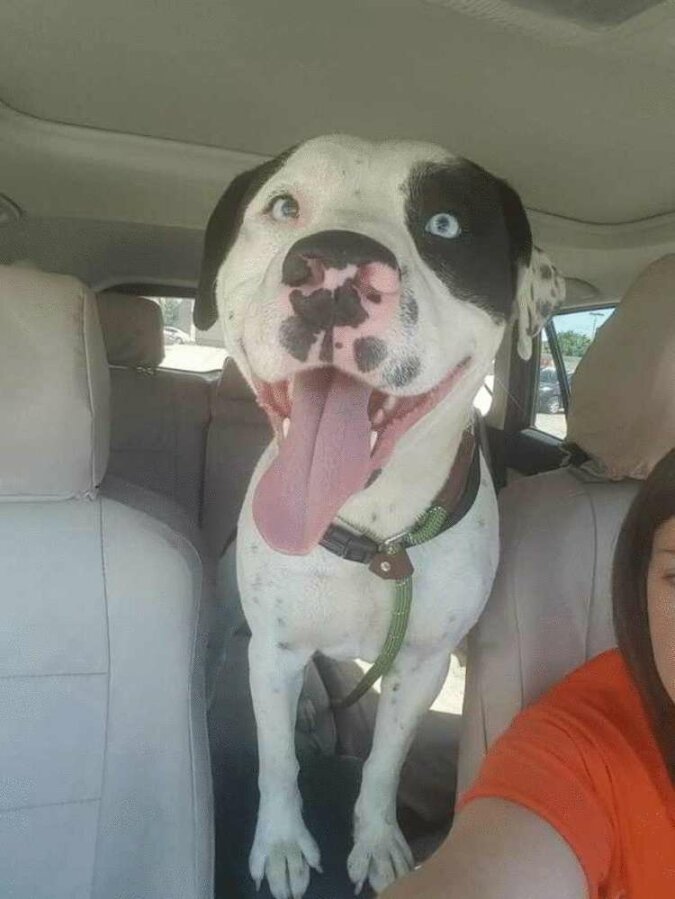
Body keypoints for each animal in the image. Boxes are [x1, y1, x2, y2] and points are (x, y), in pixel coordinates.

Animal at [195, 135, 564, 898]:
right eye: (284, 206)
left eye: (445, 225)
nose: (334, 262)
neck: (375, 532)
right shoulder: (273, 649)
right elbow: (277, 759)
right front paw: (281, 843)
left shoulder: (423, 663)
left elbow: (386, 762)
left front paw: (376, 842)